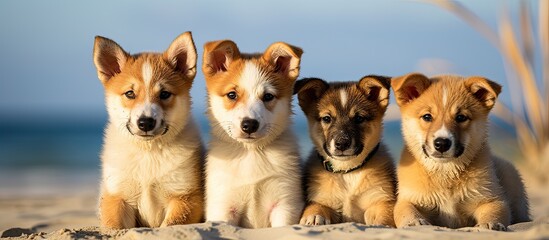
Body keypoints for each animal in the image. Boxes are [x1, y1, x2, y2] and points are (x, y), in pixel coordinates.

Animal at [93, 31, 204, 229]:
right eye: (130, 93)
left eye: (165, 94)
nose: (145, 123)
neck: (148, 153)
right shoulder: (117, 196)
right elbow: (113, 225)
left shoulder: (185, 196)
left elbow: (170, 224)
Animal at [201, 38, 304, 228]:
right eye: (232, 95)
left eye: (268, 96)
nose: (249, 125)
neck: (252, 153)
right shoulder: (223, 205)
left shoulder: (285, 203)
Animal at [294, 76, 396, 226]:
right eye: (327, 118)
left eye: (359, 118)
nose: (342, 143)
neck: (347, 172)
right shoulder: (322, 197)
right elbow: (316, 206)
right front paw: (313, 217)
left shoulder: (379, 198)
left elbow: (385, 215)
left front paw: (382, 224)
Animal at [392, 72, 528, 231]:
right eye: (427, 116)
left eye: (461, 117)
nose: (442, 143)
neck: (445, 171)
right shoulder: (409, 198)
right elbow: (405, 211)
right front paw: (414, 222)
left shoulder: (490, 198)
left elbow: (494, 212)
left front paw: (490, 224)